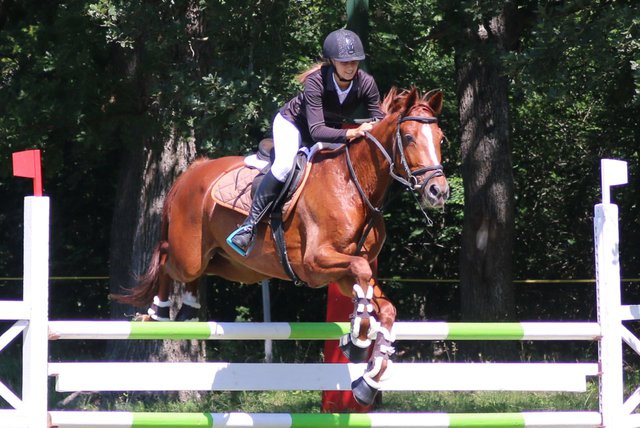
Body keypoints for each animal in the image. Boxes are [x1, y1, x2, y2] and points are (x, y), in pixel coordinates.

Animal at [112, 87, 450, 404]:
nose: (439, 191)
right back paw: (158, 311)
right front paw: (356, 341)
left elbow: (384, 306)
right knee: (166, 256)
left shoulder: (342, 276)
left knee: (198, 270)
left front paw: (368, 380)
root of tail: (192, 172)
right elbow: (361, 271)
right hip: (189, 256)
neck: (355, 187)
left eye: (440, 138)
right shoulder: (316, 264)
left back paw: (188, 307)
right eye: (409, 137)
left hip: (233, 265)